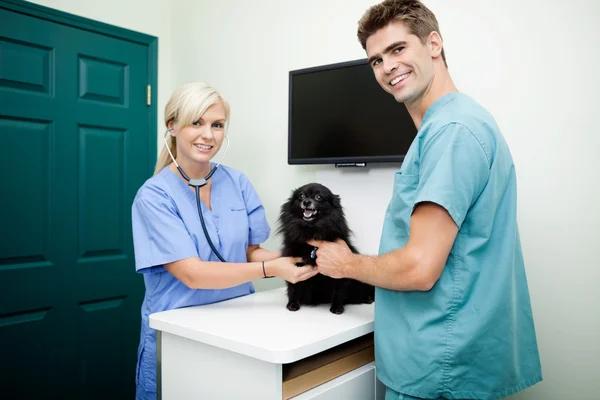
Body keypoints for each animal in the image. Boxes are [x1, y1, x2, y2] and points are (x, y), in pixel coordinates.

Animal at [278, 183, 372, 314]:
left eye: (319, 197)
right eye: (301, 196)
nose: (306, 202)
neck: (312, 230)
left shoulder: (338, 272)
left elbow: (339, 290)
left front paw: (337, 306)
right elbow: (293, 286)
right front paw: (292, 303)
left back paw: (368, 298)